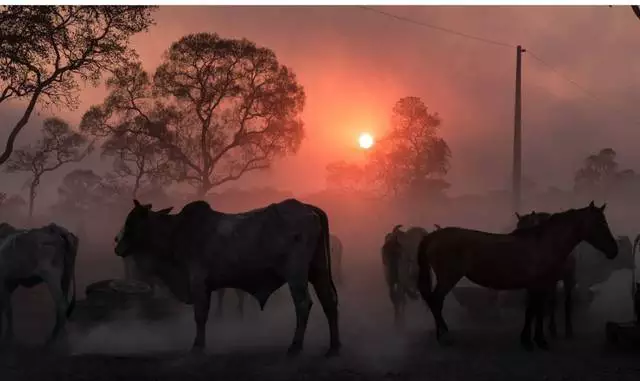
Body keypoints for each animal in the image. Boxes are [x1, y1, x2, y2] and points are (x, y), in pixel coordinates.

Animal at [0, 220, 79, 348]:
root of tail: (56, 229)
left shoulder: (3, 281)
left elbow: (7, 309)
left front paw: (8, 338)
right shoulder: (10, 282)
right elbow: (6, 308)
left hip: (51, 277)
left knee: (61, 305)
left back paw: (53, 340)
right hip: (66, 277)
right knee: (63, 304)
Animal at [116, 199, 344, 356]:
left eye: (131, 221)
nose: (117, 244)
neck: (176, 233)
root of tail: (308, 208)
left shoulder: (198, 282)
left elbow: (200, 315)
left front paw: (198, 346)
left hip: (296, 274)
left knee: (303, 304)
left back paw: (295, 347)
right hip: (319, 270)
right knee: (329, 301)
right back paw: (333, 347)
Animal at [418, 202, 616, 350]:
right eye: (600, 223)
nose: (614, 250)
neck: (543, 243)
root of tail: (433, 235)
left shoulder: (539, 285)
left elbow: (535, 310)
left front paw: (533, 339)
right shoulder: (538, 285)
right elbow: (534, 311)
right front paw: (535, 341)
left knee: (435, 302)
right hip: (448, 278)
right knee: (436, 301)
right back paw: (445, 336)